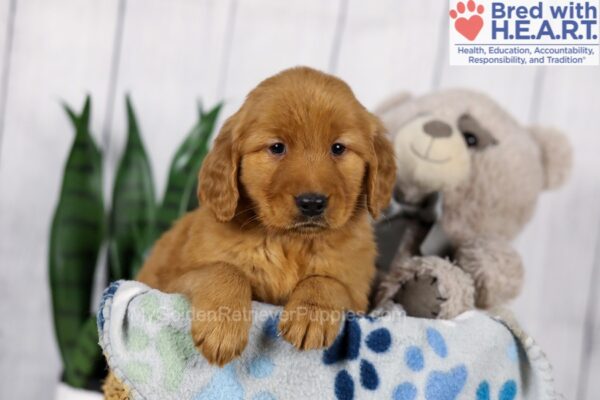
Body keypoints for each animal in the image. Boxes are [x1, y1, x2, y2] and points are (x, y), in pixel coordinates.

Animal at [138, 66, 396, 366]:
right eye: (276, 147)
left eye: (338, 148)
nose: (312, 203)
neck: (290, 242)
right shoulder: (168, 285)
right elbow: (223, 269)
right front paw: (222, 327)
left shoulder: (358, 299)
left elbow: (329, 282)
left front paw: (311, 314)